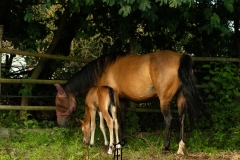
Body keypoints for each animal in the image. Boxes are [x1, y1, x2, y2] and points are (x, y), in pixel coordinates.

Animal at [54, 50, 212, 155]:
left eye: (59, 103)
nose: (60, 123)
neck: (104, 69)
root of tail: (180, 58)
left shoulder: (115, 99)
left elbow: (116, 120)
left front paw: (116, 145)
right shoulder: (122, 100)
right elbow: (122, 119)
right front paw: (122, 141)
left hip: (164, 100)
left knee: (169, 120)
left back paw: (165, 147)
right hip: (181, 98)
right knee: (181, 119)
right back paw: (180, 148)